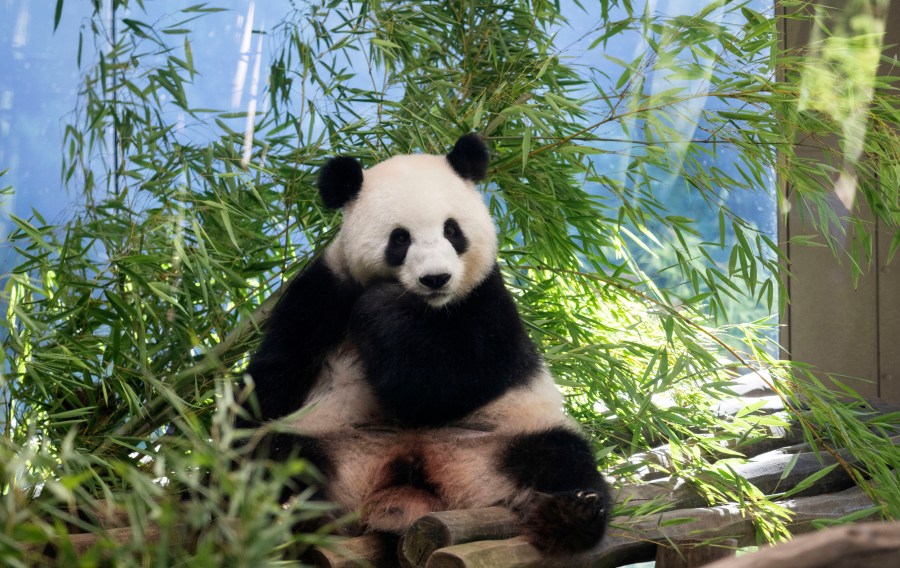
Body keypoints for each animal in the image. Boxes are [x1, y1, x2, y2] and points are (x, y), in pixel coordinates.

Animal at [239, 133, 608, 556]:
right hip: (330, 439)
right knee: (276, 455)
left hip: (504, 436)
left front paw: (380, 307)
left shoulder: (485, 300)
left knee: (561, 457)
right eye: (400, 238)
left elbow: (442, 383)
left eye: (452, 231)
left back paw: (571, 514)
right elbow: (275, 372)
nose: (436, 278)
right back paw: (276, 508)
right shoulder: (324, 290)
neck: (425, 308)